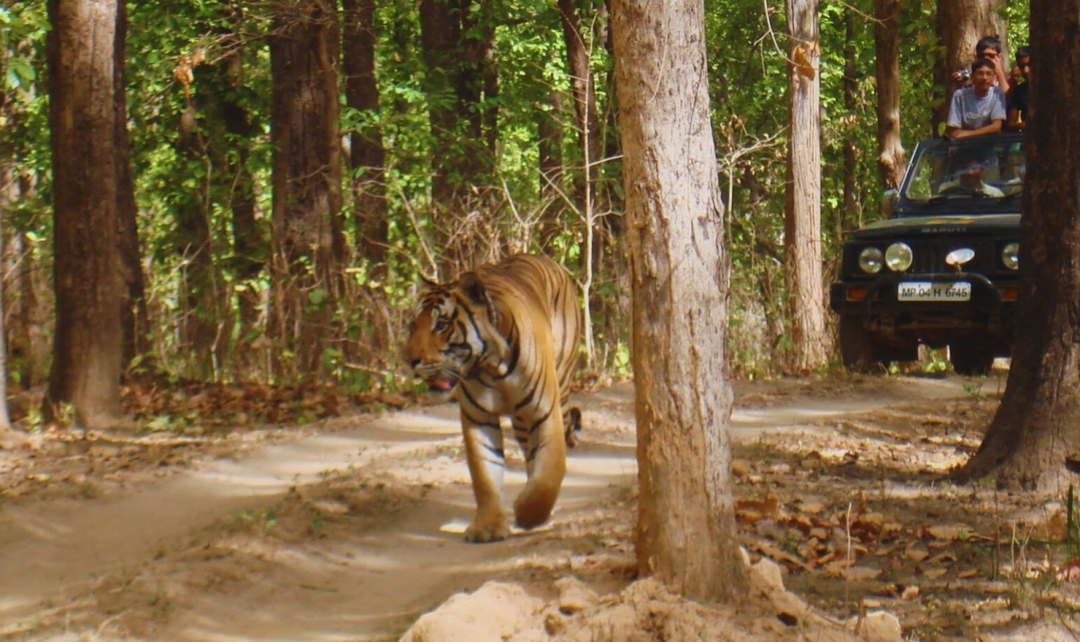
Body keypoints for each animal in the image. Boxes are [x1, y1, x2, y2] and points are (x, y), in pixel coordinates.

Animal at [405, 254, 583, 543]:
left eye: (441, 325)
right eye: (413, 325)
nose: (410, 361)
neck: (490, 367)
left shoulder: (544, 413)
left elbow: (550, 470)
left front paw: (528, 513)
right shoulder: (479, 418)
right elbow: (485, 474)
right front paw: (487, 527)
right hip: (521, 422)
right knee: (529, 453)